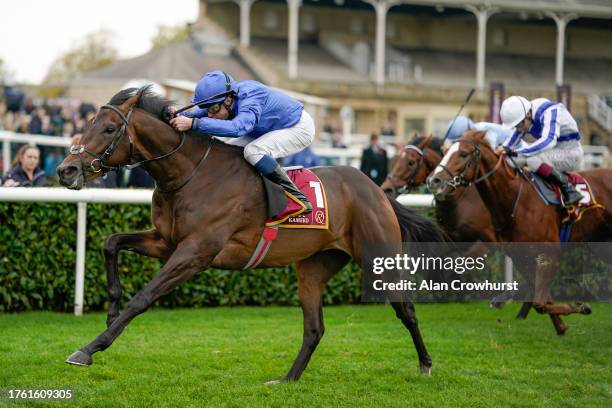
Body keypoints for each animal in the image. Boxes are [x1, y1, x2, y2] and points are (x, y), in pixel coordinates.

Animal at [55, 87, 444, 380]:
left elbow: (144, 297)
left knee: (405, 309)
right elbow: (111, 243)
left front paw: (89, 348)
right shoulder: (166, 242)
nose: (66, 170)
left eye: (108, 129)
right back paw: (287, 379)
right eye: (89, 123)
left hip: (380, 256)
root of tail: (376, 189)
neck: (191, 174)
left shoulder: (196, 252)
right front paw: (110, 309)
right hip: (314, 266)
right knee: (314, 327)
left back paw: (426, 364)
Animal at [426, 131, 612, 334]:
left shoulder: (549, 253)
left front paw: (580, 307)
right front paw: (562, 325)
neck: (516, 201)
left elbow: (540, 302)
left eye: (463, 154)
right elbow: (543, 300)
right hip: (602, 245)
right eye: (444, 152)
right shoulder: (519, 256)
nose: (434, 181)